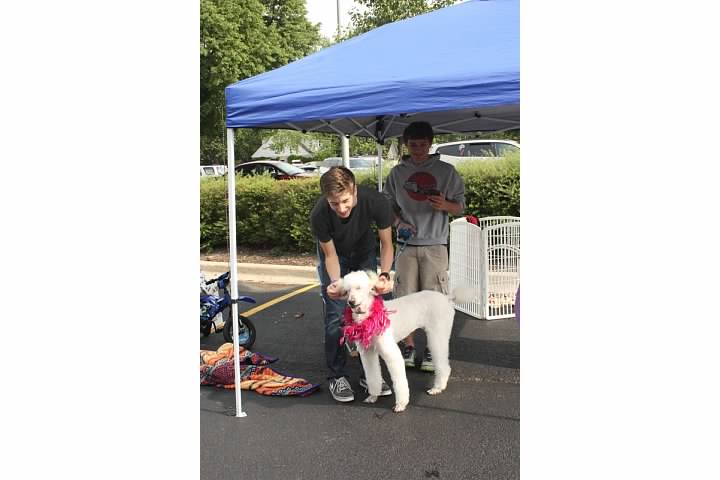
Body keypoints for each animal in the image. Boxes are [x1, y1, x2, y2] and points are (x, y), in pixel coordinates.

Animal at [339, 270, 475, 412]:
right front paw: (373, 396)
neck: (370, 314)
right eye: (347, 291)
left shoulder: (391, 353)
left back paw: (437, 387)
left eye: (359, 288)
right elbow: (372, 375)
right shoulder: (368, 353)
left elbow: (399, 380)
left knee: (442, 363)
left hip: (438, 334)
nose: (351, 302)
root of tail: (447, 298)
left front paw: (401, 404)